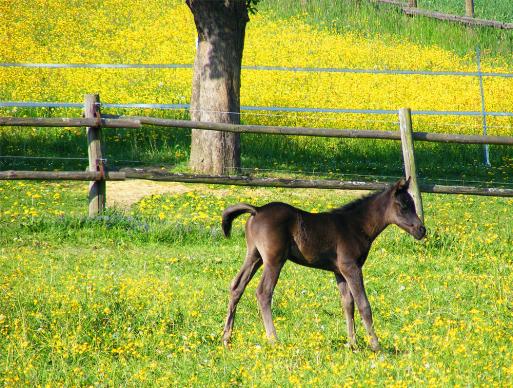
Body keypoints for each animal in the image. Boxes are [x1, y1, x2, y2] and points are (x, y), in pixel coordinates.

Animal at [220, 179, 424, 352]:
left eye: (413, 205)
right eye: (403, 205)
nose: (422, 230)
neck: (357, 226)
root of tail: (257, 209)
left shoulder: (339, 272)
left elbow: (347, 304)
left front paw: (352, 344)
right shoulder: (351, 267)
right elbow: (363, 304)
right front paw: (375, 345)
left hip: (254, 256)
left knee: (237, 286)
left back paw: (226, 338)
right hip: (274, 260)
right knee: (263, 292)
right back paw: (273, 339)